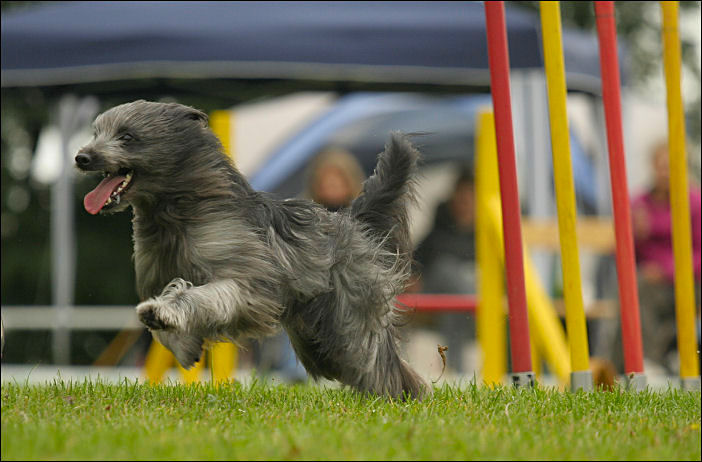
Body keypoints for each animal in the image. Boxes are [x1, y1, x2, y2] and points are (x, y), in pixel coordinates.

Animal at [75, 99, 428, 398]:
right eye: (96, 132)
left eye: (127, 137)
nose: (82, 157)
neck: (178, 214)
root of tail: (352, 222)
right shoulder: (156, 273)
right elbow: (165, 314)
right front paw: (180, 340)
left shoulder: (249, 284)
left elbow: (203, 296)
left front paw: (163, 312)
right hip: (315, 338)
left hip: (348, 319)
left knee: (373, 358)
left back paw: (400, 395)